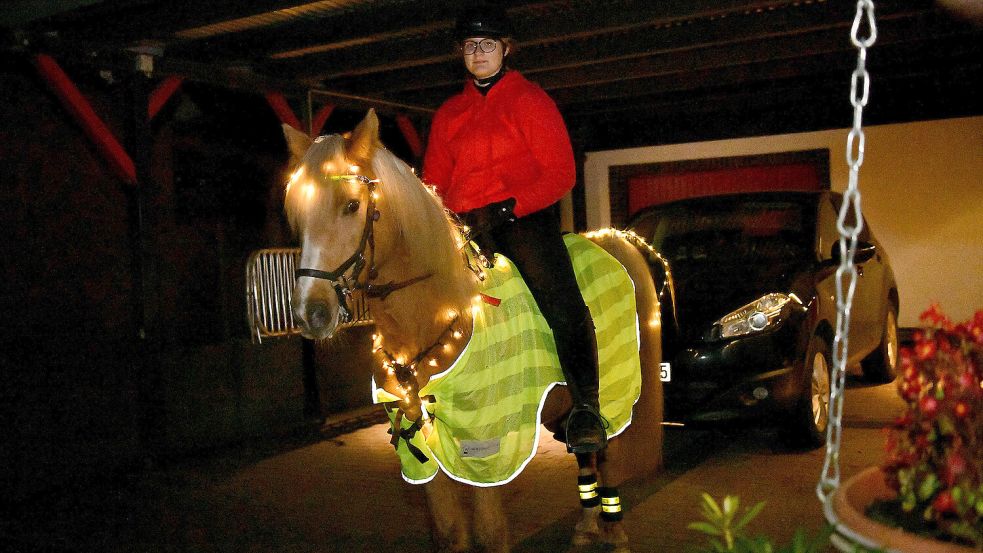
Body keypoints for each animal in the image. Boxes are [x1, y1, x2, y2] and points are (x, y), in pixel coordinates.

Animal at [280, 110, 664, 548]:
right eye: (297, 215)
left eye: (351, 205)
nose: (311, 312)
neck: (442, 314)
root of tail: (614, 239)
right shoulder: (420, 444)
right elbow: (450, 532)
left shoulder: (488, 448)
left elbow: (491, 532)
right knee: (585, 457)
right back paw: (586, 524)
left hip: (613, 395)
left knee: (604, 452)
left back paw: (613, 529)